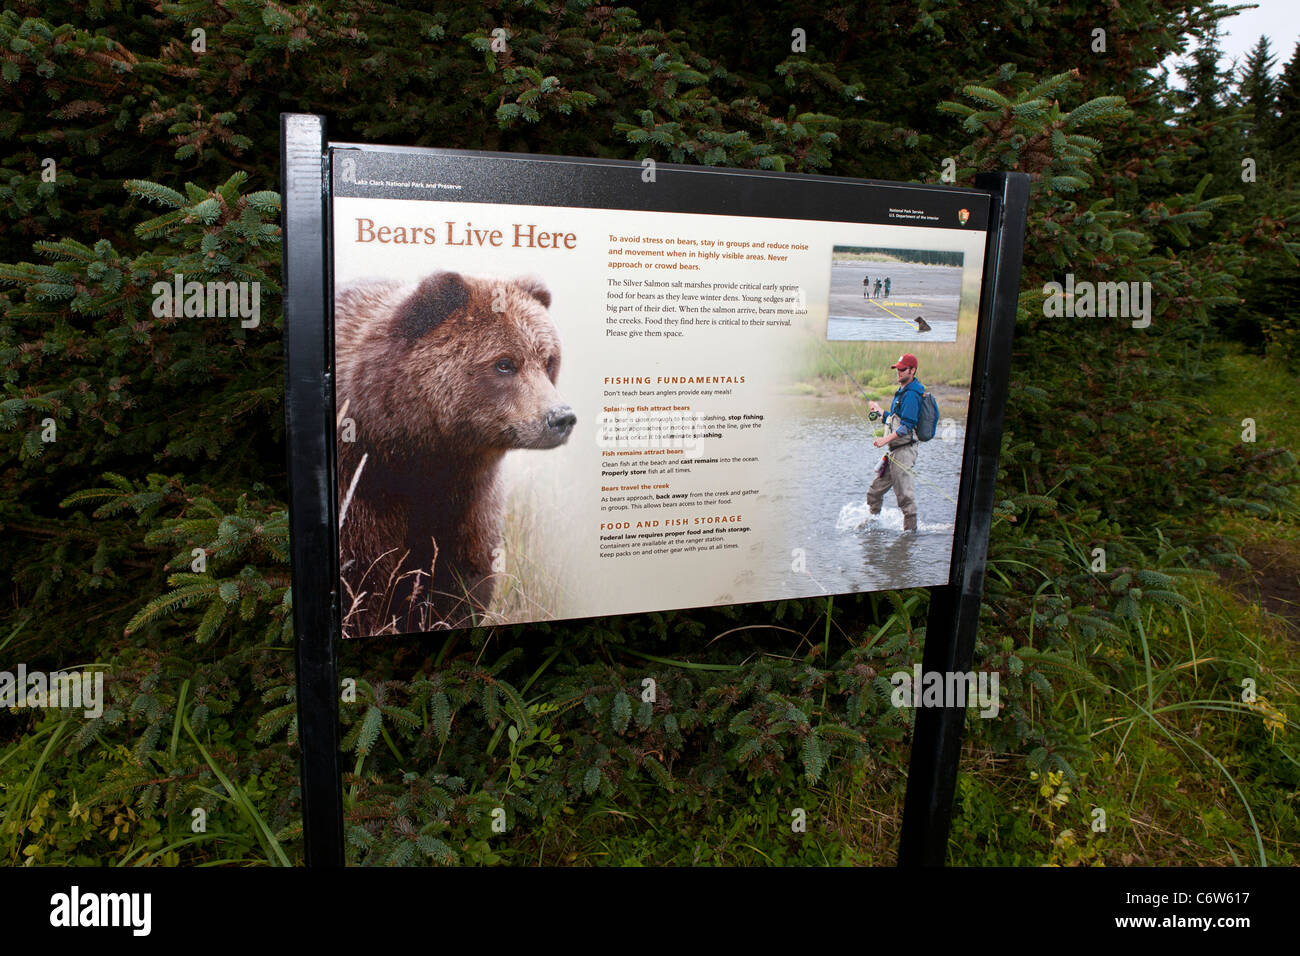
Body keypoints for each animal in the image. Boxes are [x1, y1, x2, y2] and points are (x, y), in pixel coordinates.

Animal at [335, 273, 574, 639]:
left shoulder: (466, 498)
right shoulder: (360, 487)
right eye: (505, 363)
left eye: (549, 360)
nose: (561, 418)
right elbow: (362, 580)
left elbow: (459, 580)